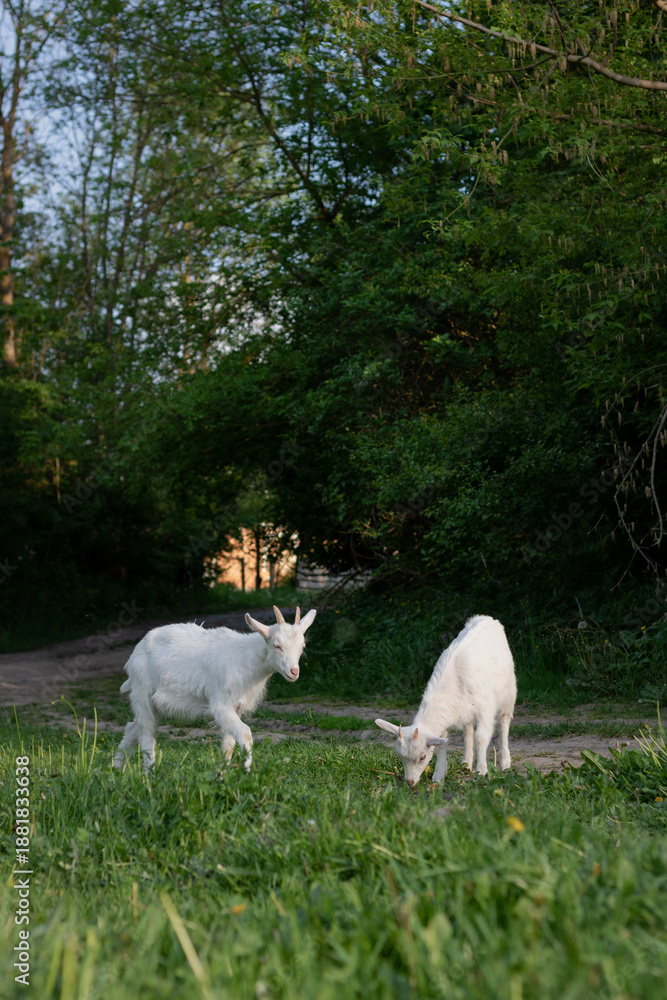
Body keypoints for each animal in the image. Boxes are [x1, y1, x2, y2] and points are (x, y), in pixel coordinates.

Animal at [112, 605, 316, 772]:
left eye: (302, 646)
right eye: (277, 645)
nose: (293, 672)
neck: (246, 658)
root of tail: (135, 653)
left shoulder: (235, 708)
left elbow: (228, 745)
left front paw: (222, 777)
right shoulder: (221, 705)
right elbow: (245, 733)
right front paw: (247, 772)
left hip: (156, 705)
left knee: (132, 728)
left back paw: (116, 771)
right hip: (142, 692)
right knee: (146, 735)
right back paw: (150, 777)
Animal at [375, 615, 516, 786]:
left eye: (422, 757)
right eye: (400, 757)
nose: (409, 782)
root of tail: (486, 618)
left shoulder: (485, 710)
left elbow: (481, 738)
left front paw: (482, 771)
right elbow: (444, 742)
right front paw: (439, 775)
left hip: (509, 695)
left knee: (503, 724)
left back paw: (505, 763)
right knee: (468, 730)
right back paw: (466, 763)